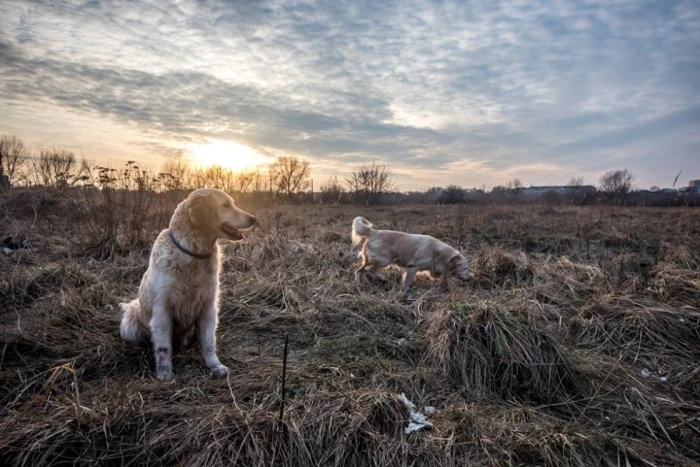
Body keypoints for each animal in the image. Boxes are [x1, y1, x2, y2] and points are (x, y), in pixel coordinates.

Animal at [119, 188, 258, 382]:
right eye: (225, 205)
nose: (253, 218)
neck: (194, 255)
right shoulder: (162, 310)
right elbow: (164, 347)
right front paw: (165, 373)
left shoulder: (208, 307)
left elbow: (208, 342)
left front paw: (215, 366)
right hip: (130, 324)